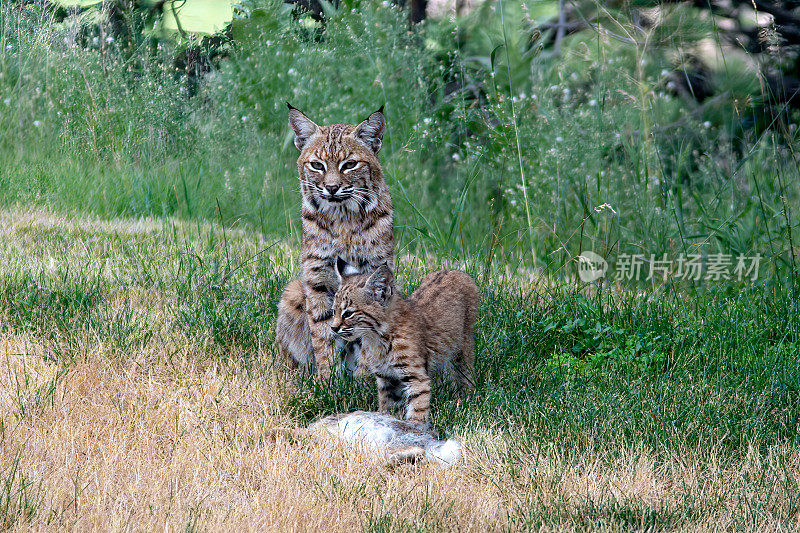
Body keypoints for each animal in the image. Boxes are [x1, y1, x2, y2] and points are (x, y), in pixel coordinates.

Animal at [276, 104, 396, 376]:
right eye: (317, 165)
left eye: (350, 164)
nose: (331, 188)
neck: (343, 218)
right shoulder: (316, 276)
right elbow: (323, 334)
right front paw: (328, 380)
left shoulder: (375, 272)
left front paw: (362, 380)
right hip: (293, 289)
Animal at [330, 260, 478, 426]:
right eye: (334, 311)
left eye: (348, 313)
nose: (333, 328)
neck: (378, 338)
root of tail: (455, 270)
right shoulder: (386, 378)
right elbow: (387, 406)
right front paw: (385, 419)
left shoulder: (416, 377)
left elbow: (418, 407)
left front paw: (416, 427)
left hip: (463, 345)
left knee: (465, 371)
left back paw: (467, 397)